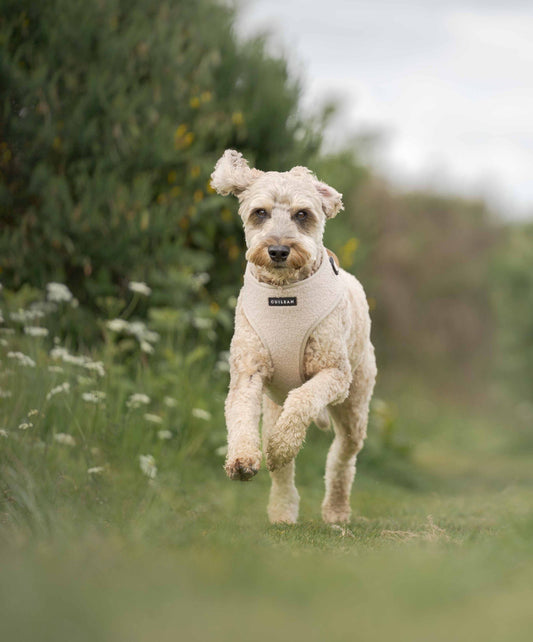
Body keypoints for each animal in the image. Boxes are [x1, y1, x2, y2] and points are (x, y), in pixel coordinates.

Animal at [210, 151, 376, 524]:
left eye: (303, 214)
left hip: (355, 403)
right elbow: (239, 415)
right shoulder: (248, 371)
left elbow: (303, 400)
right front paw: (242, 459)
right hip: (274, 402)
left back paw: (335, 509)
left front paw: (283, 443)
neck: (284, 295)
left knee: (342, 457)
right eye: (260, 213)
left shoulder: (334, 373)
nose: (278, 250)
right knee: (283, 470)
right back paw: (282, 509)